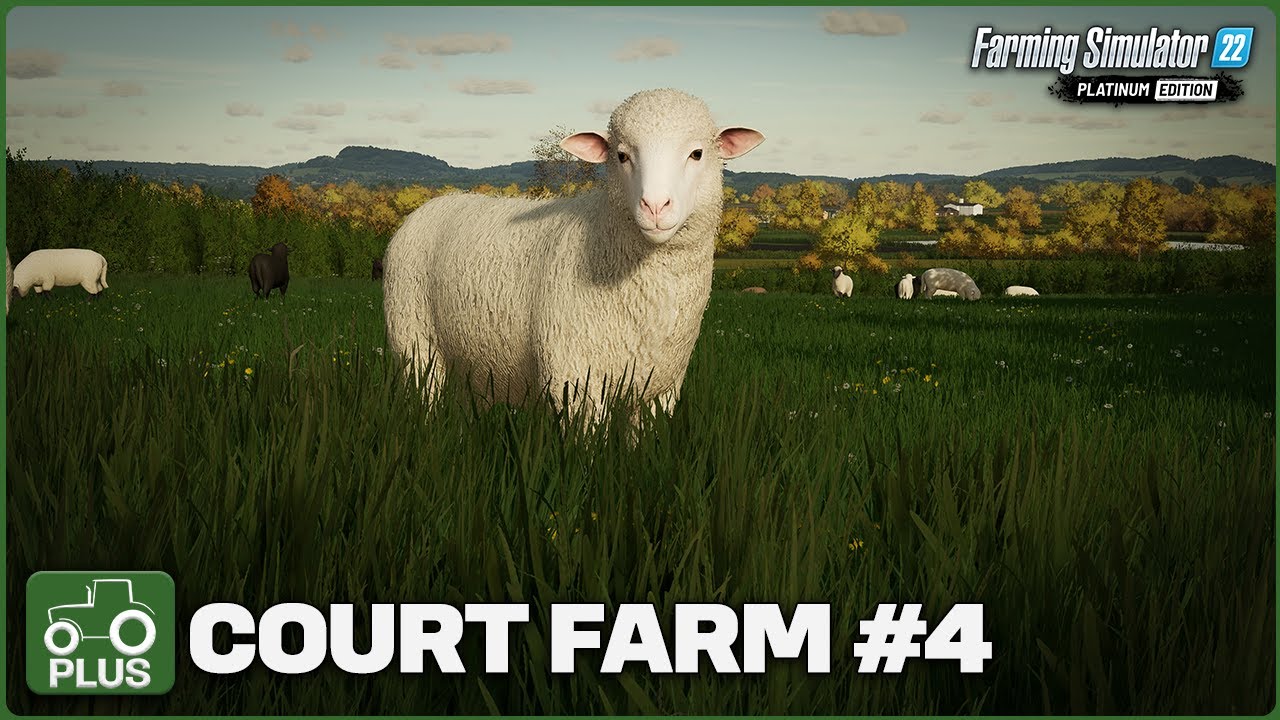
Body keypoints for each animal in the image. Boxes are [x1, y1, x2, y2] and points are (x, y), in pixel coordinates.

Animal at [383, 88, 764, 427]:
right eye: (621, 156)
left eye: (697, 153)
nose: (655, 206)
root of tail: (435, 202)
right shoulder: (576, 379)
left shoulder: (660, 389)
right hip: (414, 343)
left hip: (471, 363)